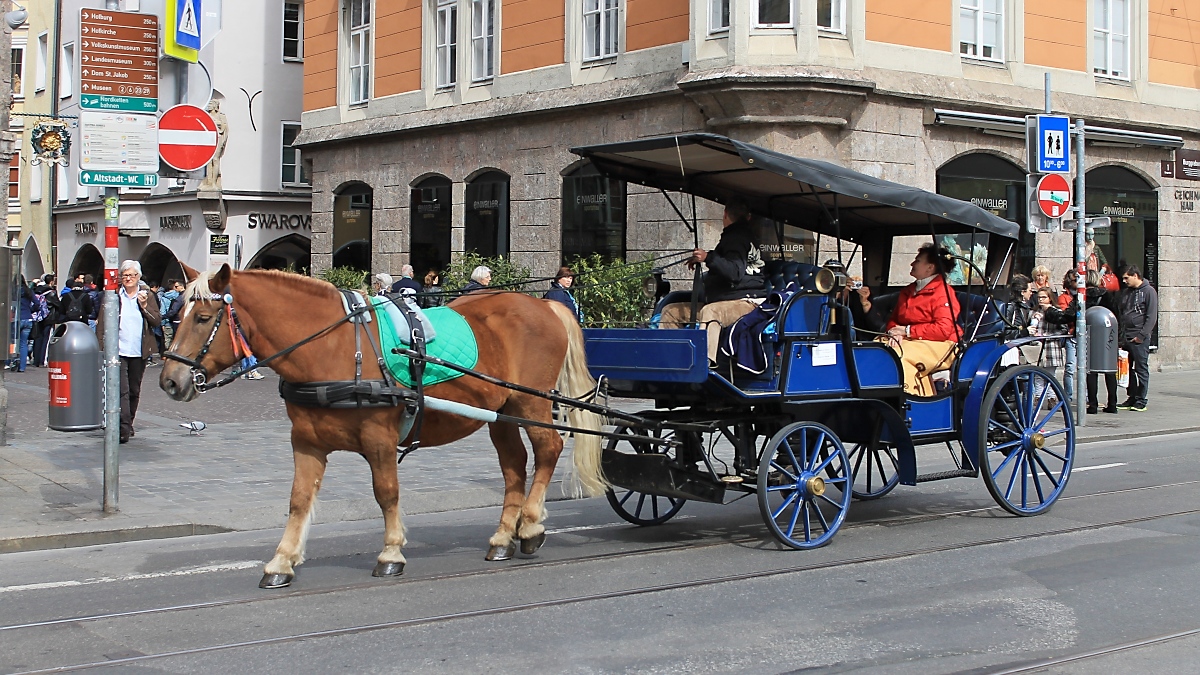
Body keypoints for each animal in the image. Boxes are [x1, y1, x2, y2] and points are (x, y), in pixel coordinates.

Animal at [159, 265, 604, 586]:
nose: (169, 381)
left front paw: (391, 552)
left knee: (548, 450)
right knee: (514, 467)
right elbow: (298, 499)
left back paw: (530, 526)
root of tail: (544, 306)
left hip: (532, 401)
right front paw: (282, 560)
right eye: (178, 313)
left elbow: (386, 494)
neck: (334, 346)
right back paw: (502, 538)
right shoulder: (306, 441)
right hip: (501, 412)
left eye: (203, 318)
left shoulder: (379, 439)